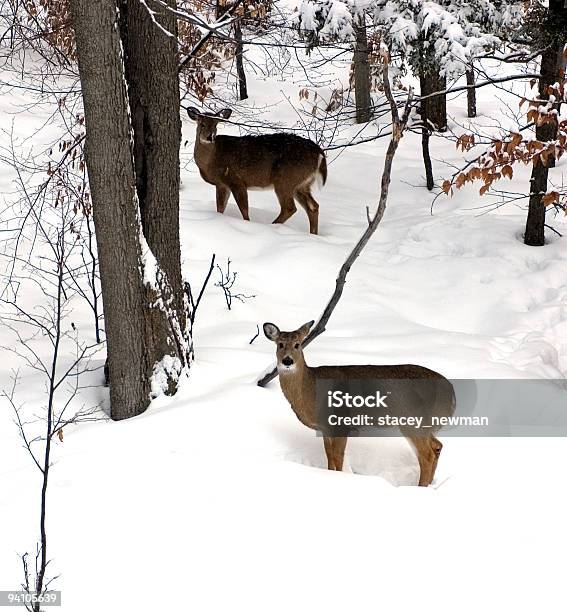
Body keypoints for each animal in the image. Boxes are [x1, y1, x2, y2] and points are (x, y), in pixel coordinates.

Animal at [187, 107, 328, 234]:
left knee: (290, 208)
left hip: (285, 178)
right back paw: (313, 234)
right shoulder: (221, 184)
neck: (211, 160)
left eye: (216, 124)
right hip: (302, 184)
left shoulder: (235, 179)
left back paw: (272, 226)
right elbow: (220, 208)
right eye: (202, 124)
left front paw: (247, 224)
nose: (210, 137)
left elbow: (244, 209)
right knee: (313, 206)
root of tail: (319, 152)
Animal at [262, 320, 458, 488]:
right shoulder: (325, 428)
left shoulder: (341, 423)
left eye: (298, 344)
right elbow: (329, 457)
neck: (311, 390)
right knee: (437, 446)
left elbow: (338, 457)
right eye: (280, 344)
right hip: (427, 424)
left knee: (427, 455)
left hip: (413, 420)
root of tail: (451, 393)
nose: (287, 361)